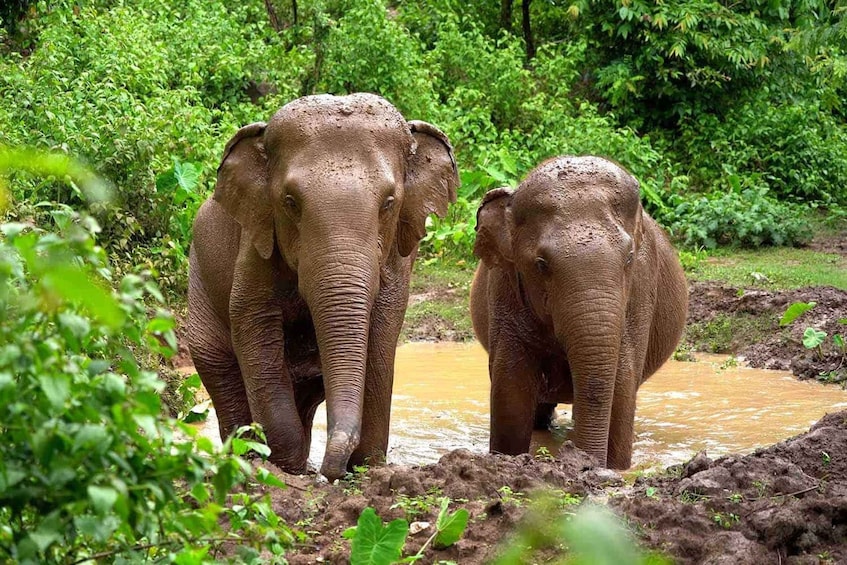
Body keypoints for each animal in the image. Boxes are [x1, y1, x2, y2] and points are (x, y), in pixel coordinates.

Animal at [188, 93, 459, 481]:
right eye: (289, 202)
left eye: (389, 203)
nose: (333, 474)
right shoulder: (255, 243)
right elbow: (254, 326)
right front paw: (285, 466)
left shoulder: (398, 258)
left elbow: (382, 334)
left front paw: (366, 466)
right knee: (220, 371)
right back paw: (248, 455)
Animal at [470, 155, 687, 469]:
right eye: (541, 264)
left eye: (629, 258)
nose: (584, 464)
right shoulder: (504, 289)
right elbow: (510, 388)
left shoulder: (641, 289)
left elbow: (622, 387)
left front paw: (615, 470)